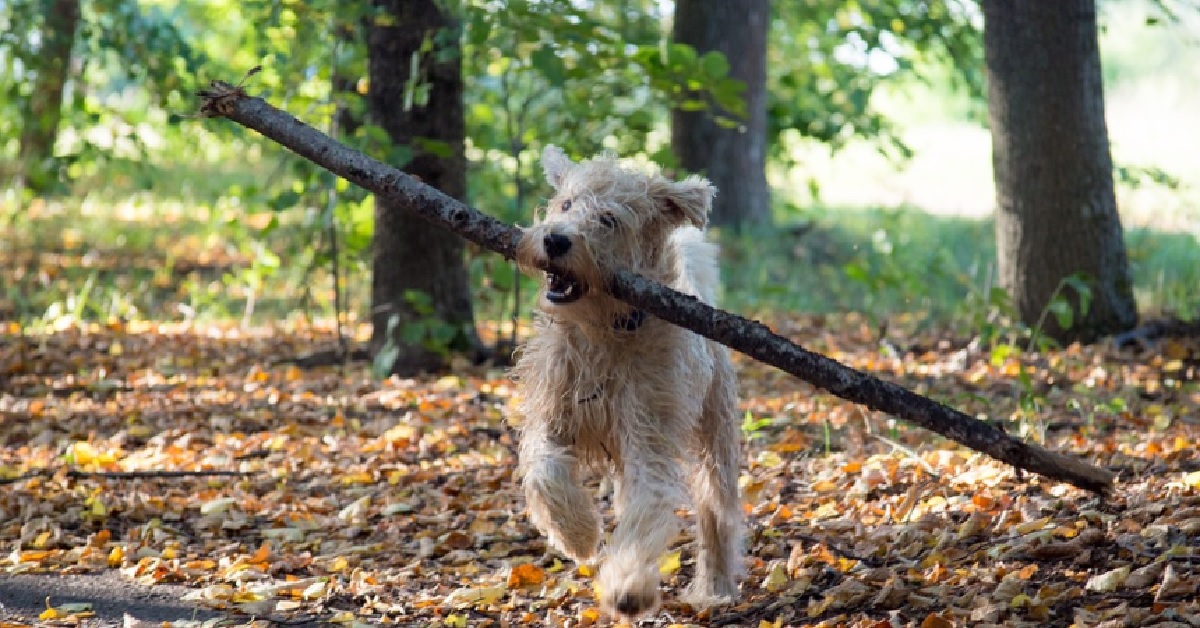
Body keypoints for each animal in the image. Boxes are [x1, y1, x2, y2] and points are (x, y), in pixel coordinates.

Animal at [511, 145, 744, 619]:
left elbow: (645, 513)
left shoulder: (648, 440)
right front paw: (578, 534)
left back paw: (715, 587)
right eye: (566, 204)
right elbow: (545, 472)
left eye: (609, 219)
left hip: (714, 439)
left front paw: (628, 588)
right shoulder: (551, 417)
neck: (605, 330)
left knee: (717, 514)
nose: (555, 239)